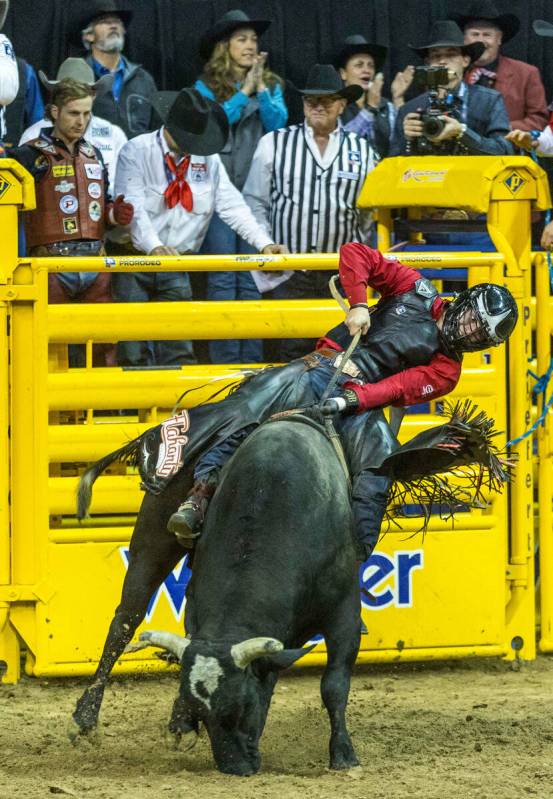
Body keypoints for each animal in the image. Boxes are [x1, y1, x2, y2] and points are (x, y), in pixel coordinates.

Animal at [70, 418, 362, 776]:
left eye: (243, 706)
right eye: (205, 717)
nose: (235, 767)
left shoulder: (344, 614)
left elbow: (333, 684)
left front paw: (343, 753)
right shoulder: (197, 602)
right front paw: (181, 721)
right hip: (151, 541)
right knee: (124, 622)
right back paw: (85, 717)